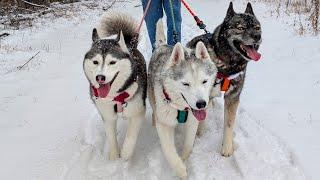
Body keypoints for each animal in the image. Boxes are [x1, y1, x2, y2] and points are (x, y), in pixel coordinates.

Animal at [83, 12, 147, 160]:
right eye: (95, 62)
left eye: (112, 62)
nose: (100, 78)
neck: (115, 96)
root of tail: (130, 45)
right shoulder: (107, 114)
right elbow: (111, 137)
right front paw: (113, 157)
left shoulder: (137, 111)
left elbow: (130, 136)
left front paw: (125, 155)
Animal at [149, 20, 219, 177]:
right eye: (186, 84)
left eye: (204, 81)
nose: (201, 104)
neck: (181, 109)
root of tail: (163, 45)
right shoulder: (164, 124)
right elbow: (169, 151)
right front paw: (180, 169)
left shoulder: (193, 122)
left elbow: (188, 145)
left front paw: (184, 159)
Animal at [188, 2, 262, 156]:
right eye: (240, 28)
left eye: (257, 27)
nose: (258, 36)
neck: (227, 64)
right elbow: (200, 119)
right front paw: (199, 133)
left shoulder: (232, 97)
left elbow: (229, 124)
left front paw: (227, 148)